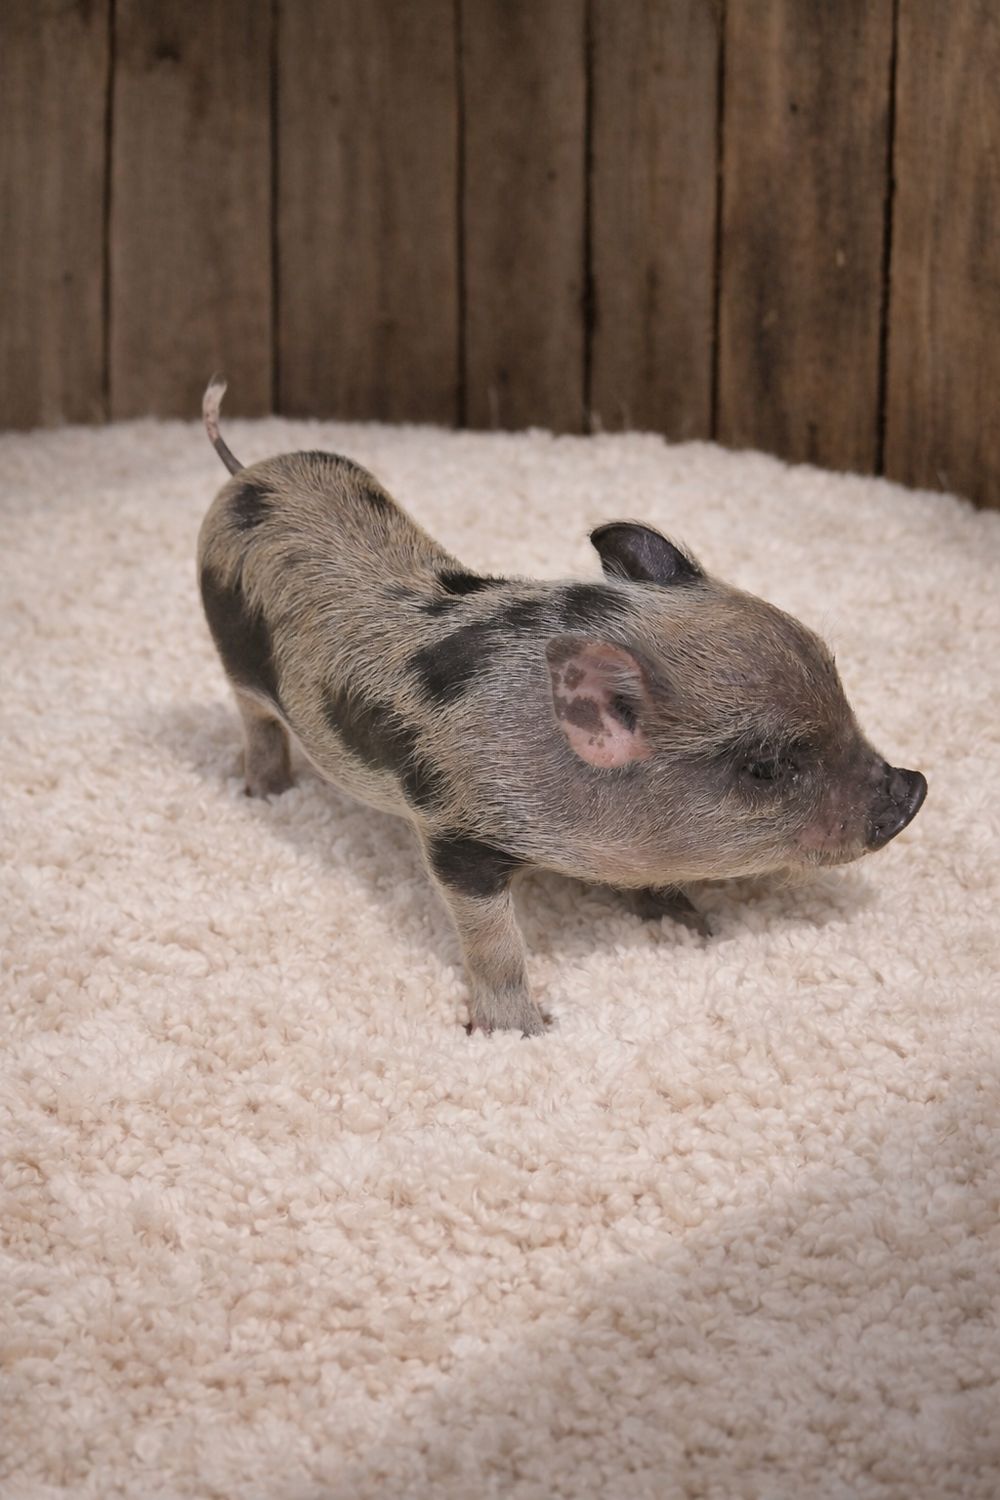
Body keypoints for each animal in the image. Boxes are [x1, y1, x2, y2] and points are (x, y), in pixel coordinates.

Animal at [197, 376, 927, 1035]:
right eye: (766, 768)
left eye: (837, 678)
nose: (912, 789)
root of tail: (245, 474)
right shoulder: (456, 836)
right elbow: (493, 944)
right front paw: (522, 1031)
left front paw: (694, 925)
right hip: (234, 662)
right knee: (255, 721)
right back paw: (267, 793)